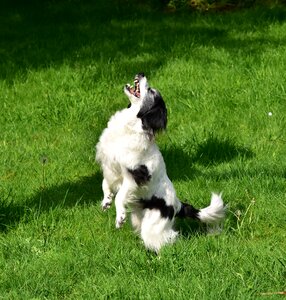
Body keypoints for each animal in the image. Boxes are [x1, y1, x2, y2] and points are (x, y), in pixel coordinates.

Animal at [96, 74, 226, 252]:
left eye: (151, 91)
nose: (142, 73)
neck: (132, 126)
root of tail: (178, 205)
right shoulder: (110, 168)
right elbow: (105, 185)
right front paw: (106, 201)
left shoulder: (135, 177)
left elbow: (120, 196)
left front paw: (119, 216)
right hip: (139, 219)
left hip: (152, 226)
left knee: (169, 238)